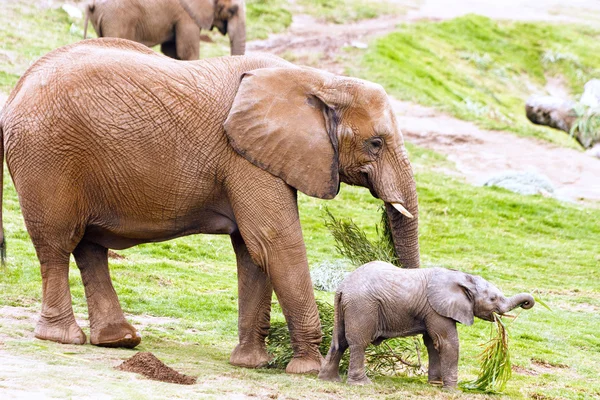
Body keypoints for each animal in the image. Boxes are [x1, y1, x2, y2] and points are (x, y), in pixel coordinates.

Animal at [0, 37, 420, 376]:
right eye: (376, 144)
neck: (322, 81)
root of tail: (16, 90)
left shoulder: (256, 154)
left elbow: (253, 251)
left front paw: (252, 363)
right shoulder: (243, 157)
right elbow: (274, 242)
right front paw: (308, 369)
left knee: (89, 247)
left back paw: (119, 341)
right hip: (47, 157)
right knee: (58, 243)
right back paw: (64, 338)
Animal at [318, 260, 536, 390]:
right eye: (493, 299)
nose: (527, 303)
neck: (463, 278)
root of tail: (342, 288)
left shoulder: (432, 311)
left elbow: (433, 343)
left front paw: (436, 383)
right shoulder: (436, 309)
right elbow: (447, 342)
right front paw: (452, 389)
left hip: (347, 308)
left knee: (340, 342)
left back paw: (329, 380)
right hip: (362, 307)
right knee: (358, 343)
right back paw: (361, 384)